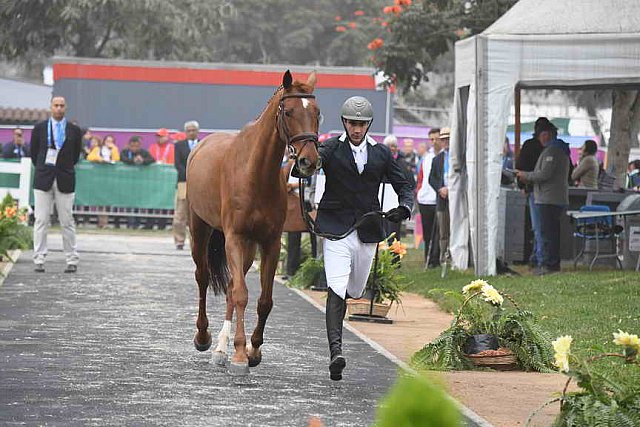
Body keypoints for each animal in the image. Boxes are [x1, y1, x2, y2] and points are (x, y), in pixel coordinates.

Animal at [188, 70, 322, 374]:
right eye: (289, 111)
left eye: (317, 113)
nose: (309, 161)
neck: (255, 173)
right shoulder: (234, 238)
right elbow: (241, 294)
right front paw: (239, 356)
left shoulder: (269, 242)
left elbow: (264, 300)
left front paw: (253, 349)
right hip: (200, 228)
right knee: (203, 277)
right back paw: (204, 337)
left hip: (248, 247)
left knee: (228, 287)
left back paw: (221, 349)